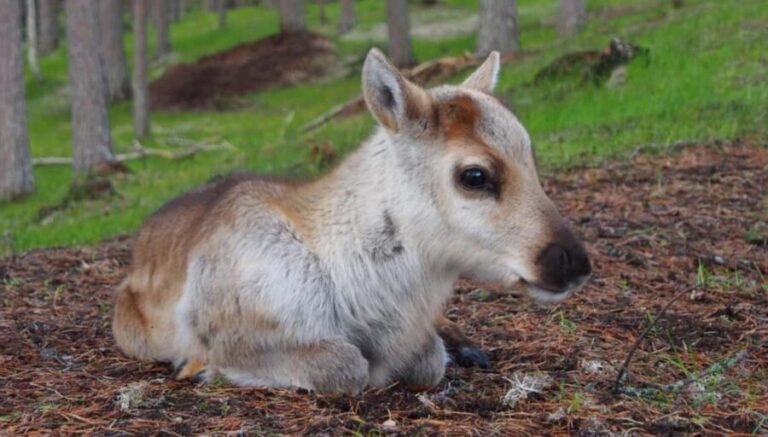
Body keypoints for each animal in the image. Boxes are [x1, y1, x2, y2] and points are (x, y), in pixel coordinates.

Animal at [112, 49, 591, 394]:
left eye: (531, 158)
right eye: (475, 175)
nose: (574, 262)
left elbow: (427, 359)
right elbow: (346, 366)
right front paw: (203, 369)